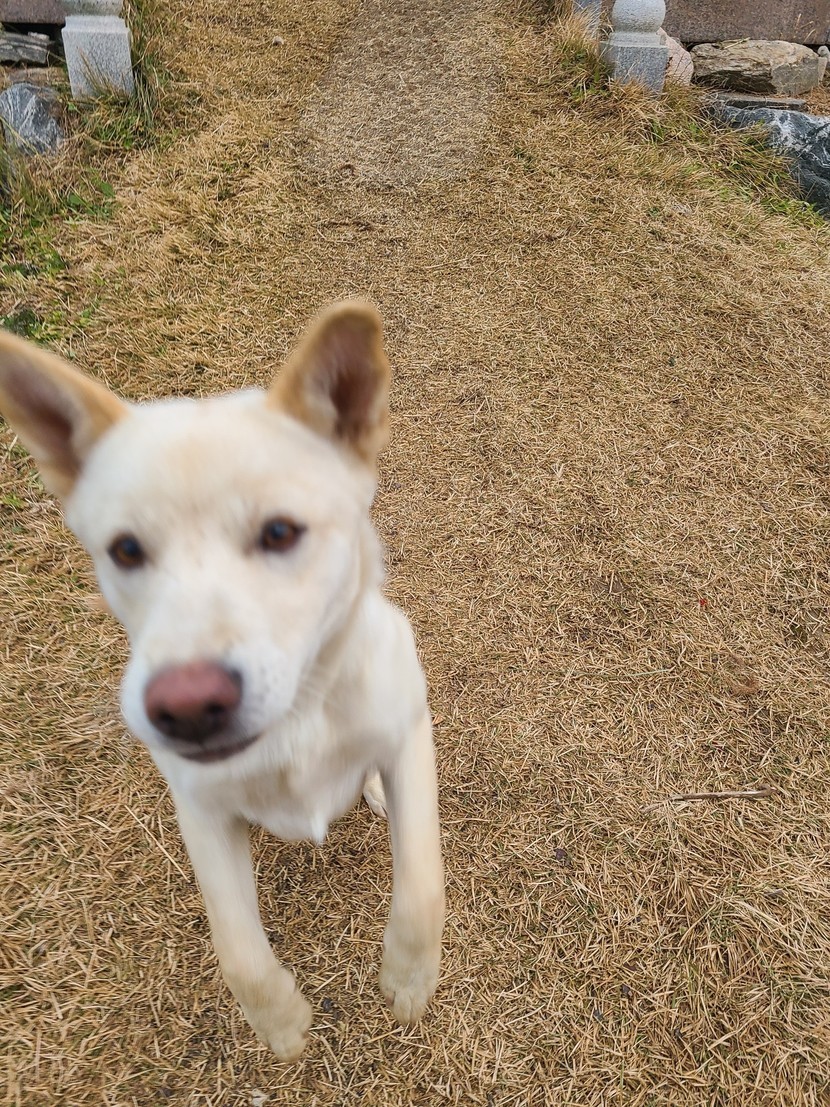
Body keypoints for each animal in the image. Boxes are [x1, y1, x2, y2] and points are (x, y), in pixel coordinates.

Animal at [0, 302, 444, 1060]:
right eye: (125, 549)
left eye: (280, 532)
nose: (185, 706)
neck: (300, 717)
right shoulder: (202, 811)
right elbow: (239, 951)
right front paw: (284, 1025)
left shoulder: (410, 737)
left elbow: (421, 889)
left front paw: (409, 983)